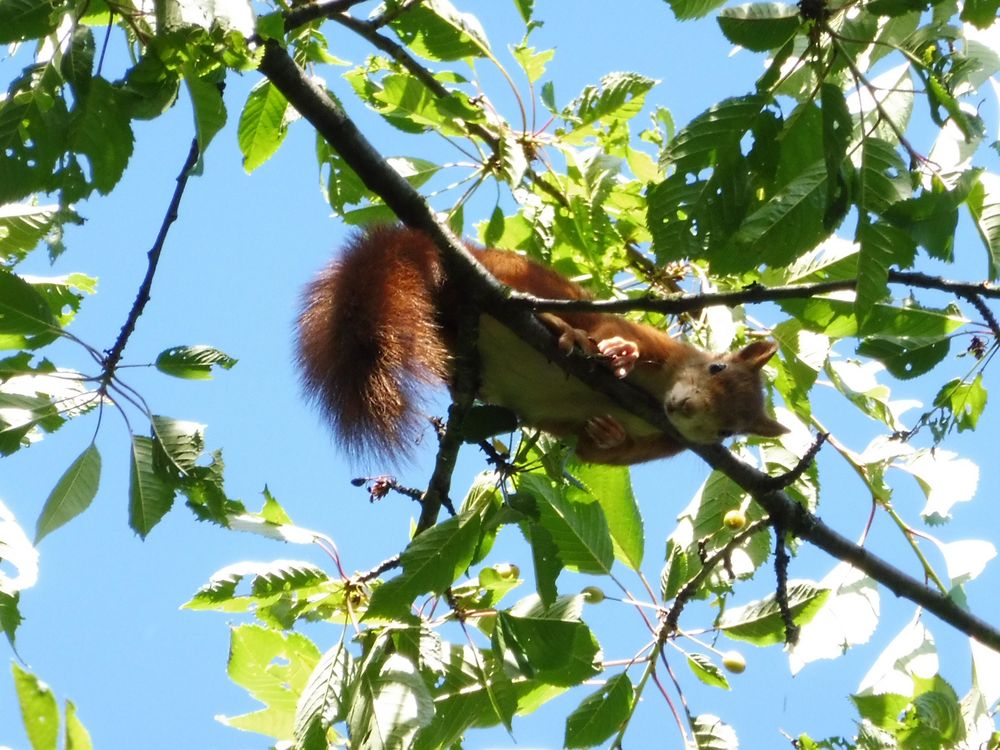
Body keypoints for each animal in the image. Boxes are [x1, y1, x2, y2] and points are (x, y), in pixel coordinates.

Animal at [296, 226, 788, 468]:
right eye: (716, 369)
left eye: (728, 431)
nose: (684, 408)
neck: (659, 391)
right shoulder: (658, 344)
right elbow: (615, 328)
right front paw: (619, 351)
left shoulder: (667, 442)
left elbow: (594, 452)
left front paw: (606, 433)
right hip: (520, 279)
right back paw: (564, 329)